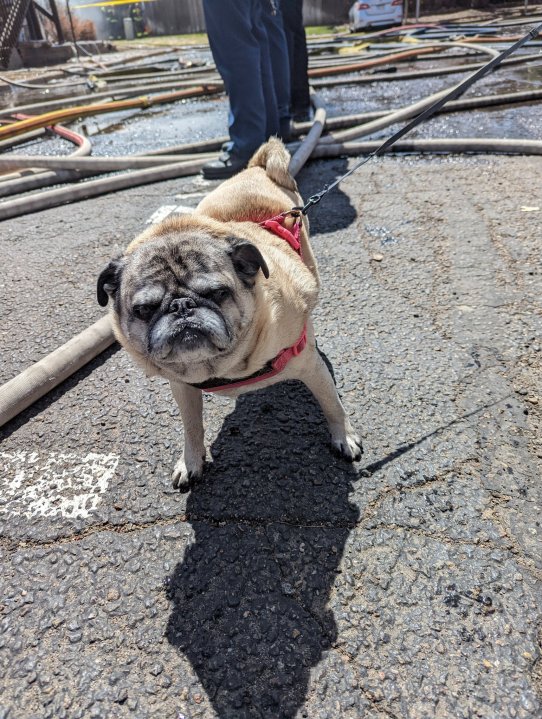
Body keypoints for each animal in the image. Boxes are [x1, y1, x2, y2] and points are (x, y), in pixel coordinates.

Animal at [98, 138, 364, 486]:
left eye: (218, 294)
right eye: (144, 310)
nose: (182, 307)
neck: (224, 366)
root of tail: (255, 167)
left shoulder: (311, 369)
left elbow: (332, 404)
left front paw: (343, 436)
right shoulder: (182, 388)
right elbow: (192, 427)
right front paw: (191, 460)